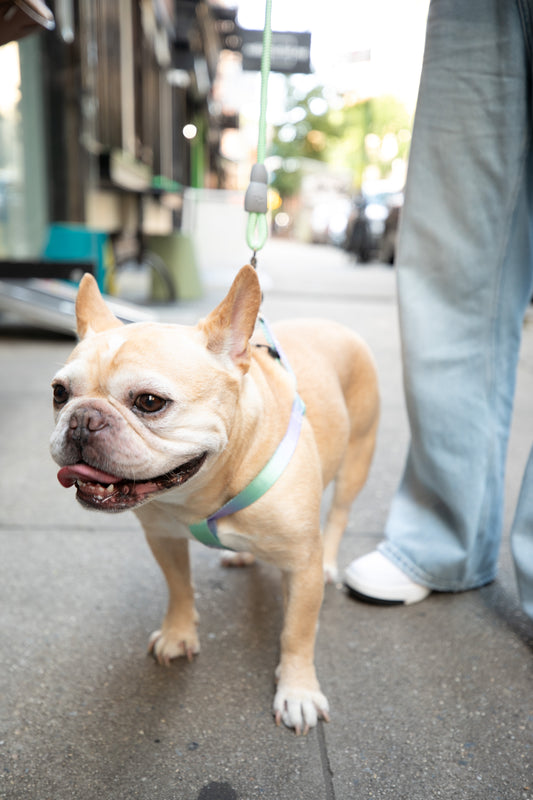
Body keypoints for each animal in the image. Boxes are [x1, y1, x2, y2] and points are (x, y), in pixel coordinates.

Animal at [50, 266, 378, 736]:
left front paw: (297, 691)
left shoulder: (303, 567)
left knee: (340, 513)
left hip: (357, 460)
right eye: (59, 393)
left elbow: (297, 633)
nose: (82, 418)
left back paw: (332, 560)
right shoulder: (164, 539)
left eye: (149, 402)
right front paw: (178, 634)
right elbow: (179, 588)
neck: (202, 491)